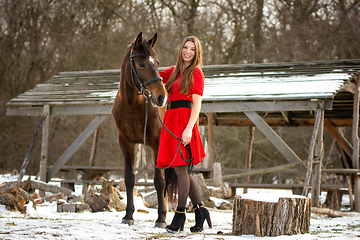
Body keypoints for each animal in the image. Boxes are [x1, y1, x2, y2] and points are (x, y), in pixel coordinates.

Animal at [112, 32, 169, 227]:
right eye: (141, 64)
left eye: (157, 62)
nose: (161, 97)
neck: (132, 106)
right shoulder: (125, 143)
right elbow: (129, 179)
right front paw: (128, 215)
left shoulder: (157, 144)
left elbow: (159, 181)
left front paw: (161, 218)